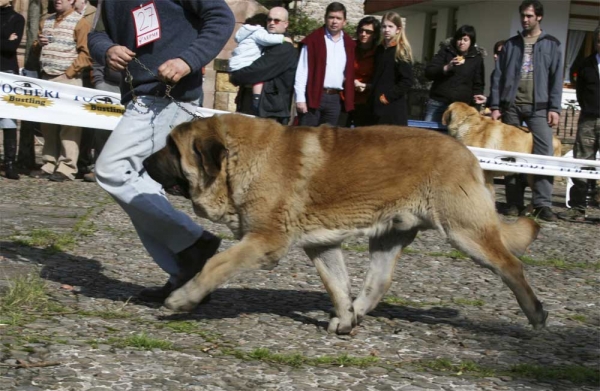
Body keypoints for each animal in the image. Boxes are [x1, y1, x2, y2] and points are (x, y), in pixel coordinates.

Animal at [143, 112, 548, 334]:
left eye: (171, 148)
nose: (145, 162)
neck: (238, 159)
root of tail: (468, 154)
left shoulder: (264, 241)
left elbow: (216, 265)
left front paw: (182, 299)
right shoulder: (320, 245)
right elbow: (336, 284)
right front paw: (344, 317)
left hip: (465, 232)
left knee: (511, 265)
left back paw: (536, 313)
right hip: (389, 236)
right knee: (378, 281)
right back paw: (356, 312)